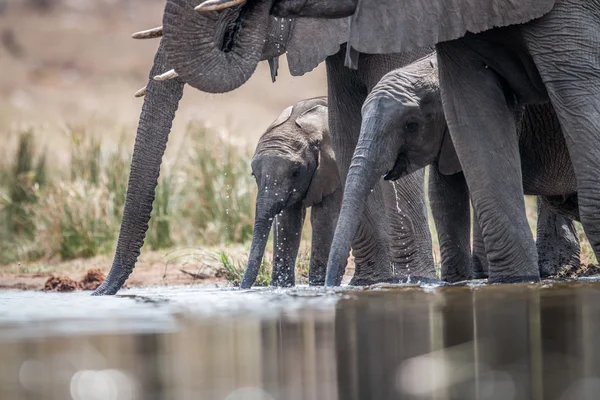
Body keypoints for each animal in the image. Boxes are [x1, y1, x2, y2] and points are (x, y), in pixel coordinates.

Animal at [240, 98, 342, 290]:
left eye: (295, 172)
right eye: (254, 175)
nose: (241, 288)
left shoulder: (333, 170)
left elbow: (324, 217)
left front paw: (317, 287)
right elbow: (289, 221)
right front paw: (282, 287)